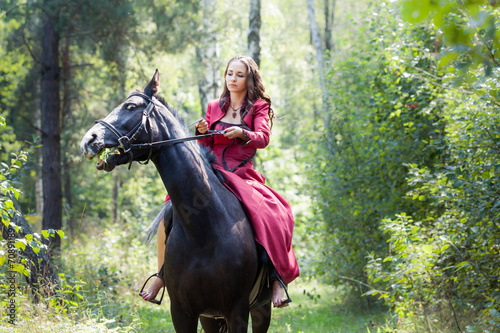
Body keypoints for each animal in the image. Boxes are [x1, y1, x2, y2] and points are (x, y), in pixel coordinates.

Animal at [80, 71, 274, 330]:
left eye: (130, 106)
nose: (88, 140)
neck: (204, 231)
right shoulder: (182, 312)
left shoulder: (237, 311)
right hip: (210, 317)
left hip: (261, 308)